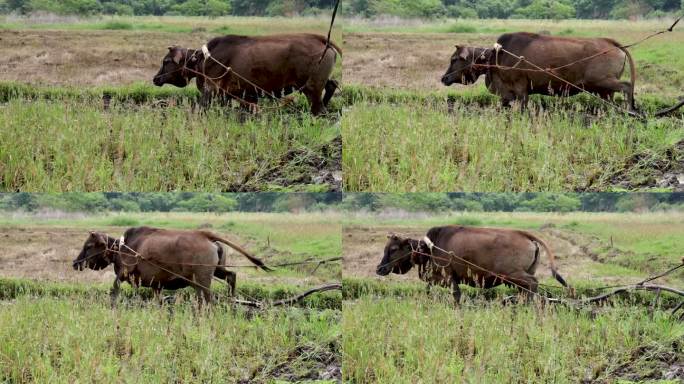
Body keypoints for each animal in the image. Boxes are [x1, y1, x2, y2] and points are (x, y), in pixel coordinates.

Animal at [72, 228, 270, 306]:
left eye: (88, 246)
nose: (75, 263)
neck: (122, 247)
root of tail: (204, 234)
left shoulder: (126, 275)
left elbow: (115, 291)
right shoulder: (155, 285)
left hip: (203, 278)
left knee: (209, 298)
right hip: (214, 272)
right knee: (231, 276)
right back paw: (231, 301)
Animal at [152, 33, 340, 115]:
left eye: (166, 61)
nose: (155, 78)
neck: (202, 59)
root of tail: (323, 41)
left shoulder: (210, 91)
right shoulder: (240, 96)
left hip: (312, 87)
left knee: (318, 107)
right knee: (332, 85)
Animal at [376, 225, 568, 304]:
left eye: (393, 249)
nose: (379, 269)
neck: (429, 248)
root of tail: (524, 234)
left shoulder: (449, 278)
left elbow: (456, 296)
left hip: (514, 275)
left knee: (533, 285)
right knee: (527, 290)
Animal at [440, 32, 640, 112]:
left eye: (454, 59)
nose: (444, 78)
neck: (495, 57)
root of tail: (611, 43)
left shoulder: (521, 90)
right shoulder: (507, 94)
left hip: (602, 81)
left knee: (627, 86)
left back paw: (630, 110)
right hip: (604, 89)